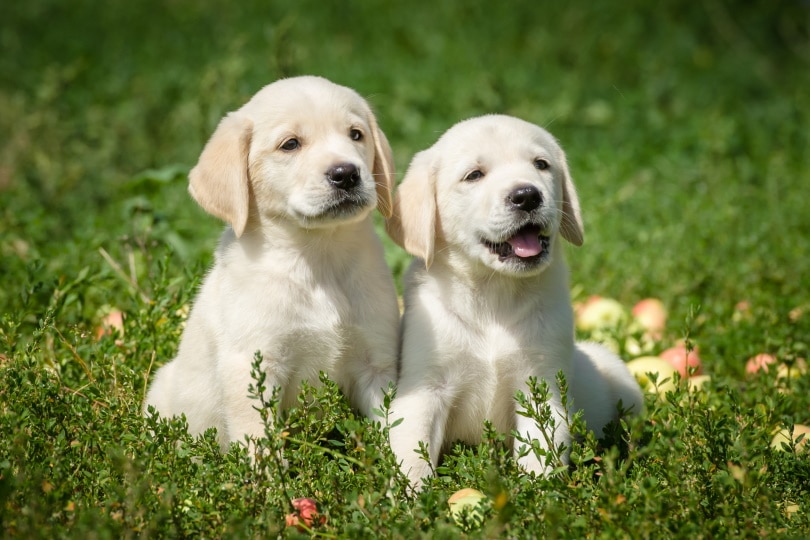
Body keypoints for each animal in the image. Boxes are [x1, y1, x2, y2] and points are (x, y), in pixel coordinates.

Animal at [144, 76, 400, 454]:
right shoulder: (254, 367)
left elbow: (395, 424)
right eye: (290, 144)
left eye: (356, 134)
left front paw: (403, 470)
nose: (346, 173)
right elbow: (259, 443)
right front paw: (268, 473)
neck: (317, 257)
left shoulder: (376, 362)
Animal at [386, 114, 644, 490]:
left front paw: (540, 496)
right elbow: (412, 454)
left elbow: (541, 451)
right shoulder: (425, 388)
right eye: (474, 175)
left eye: (541, 165)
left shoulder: (542, 386)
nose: (527, 195)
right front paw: (412, 499)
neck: (494, 293)